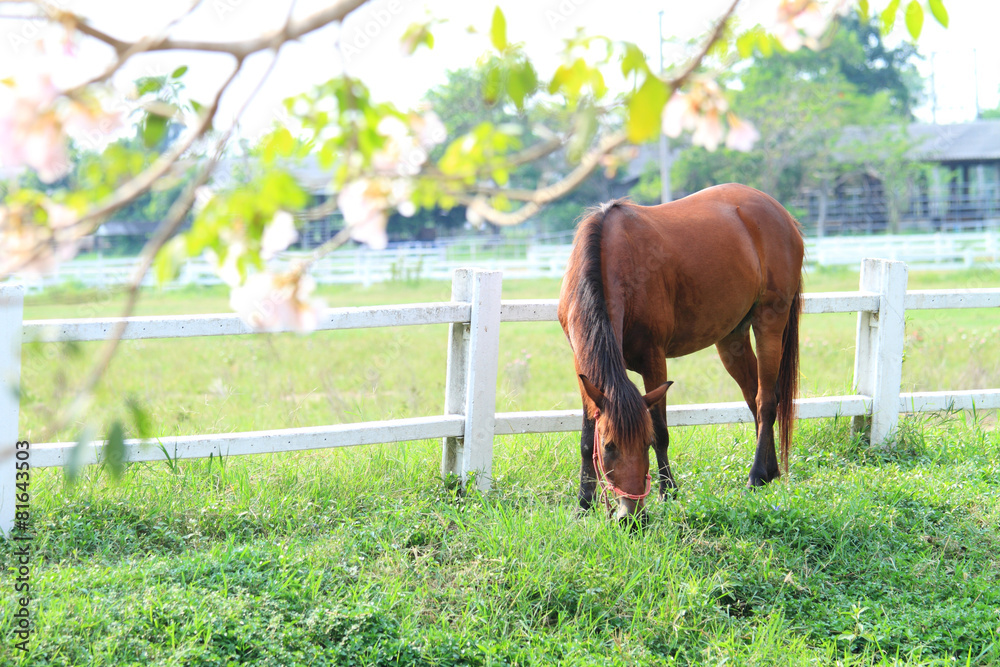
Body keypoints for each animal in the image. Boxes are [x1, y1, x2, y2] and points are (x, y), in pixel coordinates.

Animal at [557, 183, 804, 523]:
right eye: (608, 446)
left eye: (644, 444)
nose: (631, 517)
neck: (612, 259)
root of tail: (781, 214)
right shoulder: (582, 366)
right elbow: (585, 437)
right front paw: (583, 503)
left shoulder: (653, 359)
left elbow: (661, 429)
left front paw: (668, 491)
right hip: (732, 338)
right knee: (753, 396)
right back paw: (770, 472)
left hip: (770, 322)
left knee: (766, 401)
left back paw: (755, 476)